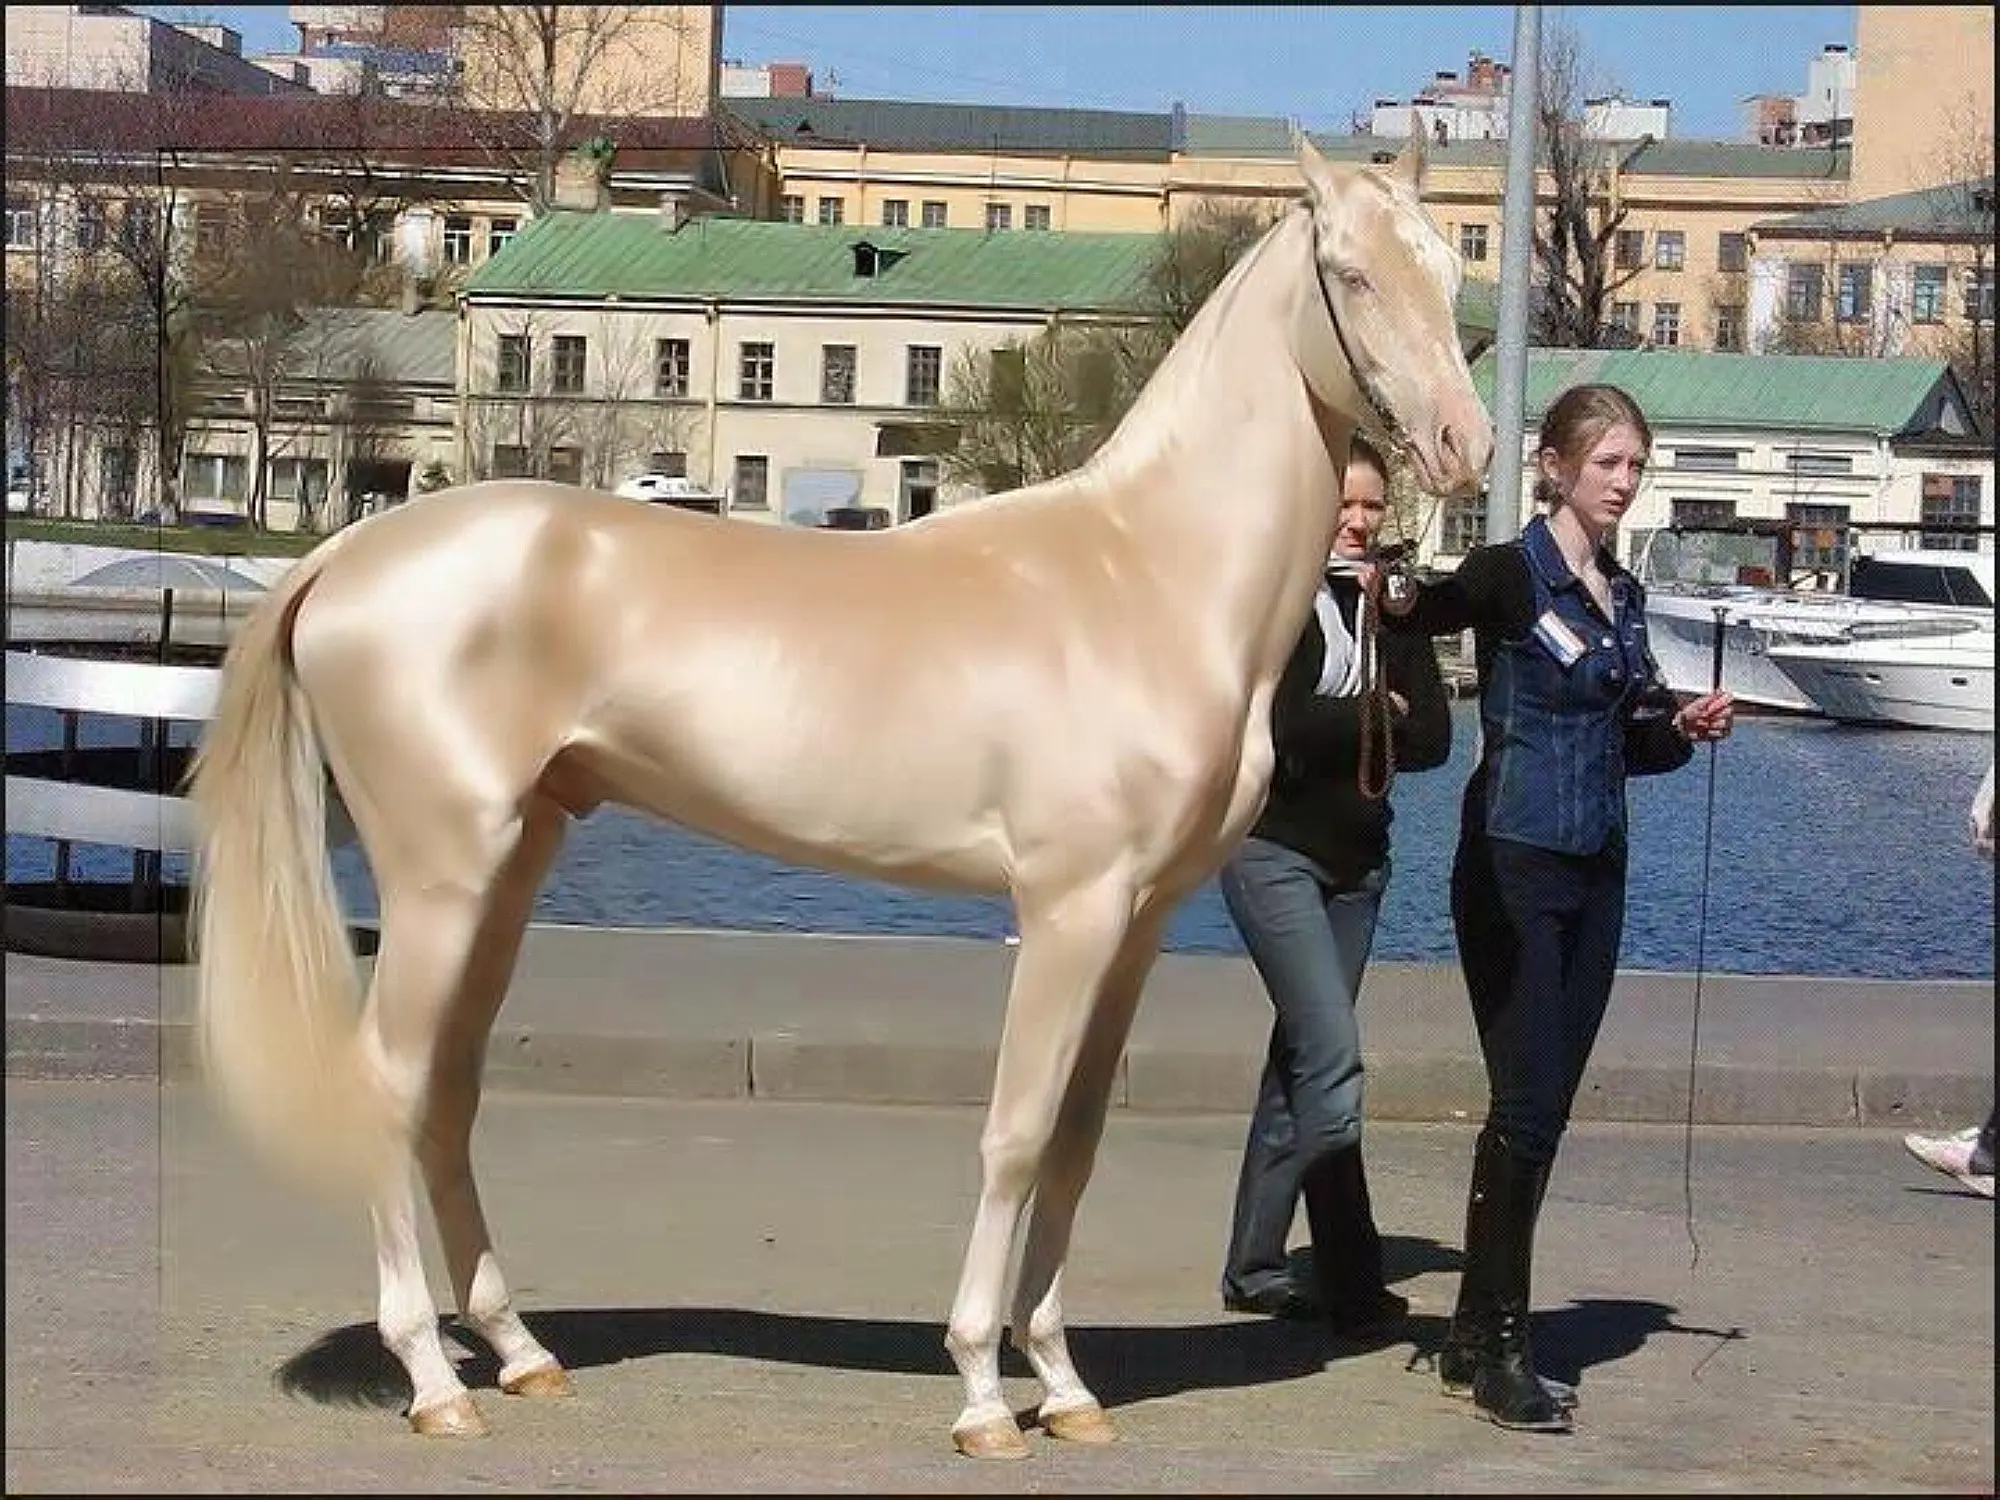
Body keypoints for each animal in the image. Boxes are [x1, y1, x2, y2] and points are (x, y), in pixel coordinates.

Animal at [195, 138, 1496, 1456]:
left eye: (1444, 270)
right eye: (1349, 273)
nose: (1465, 444)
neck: (1142, 575)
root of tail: (344, 557)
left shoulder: (1134, 927)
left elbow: (1074, 1144)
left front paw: (1064, 1385)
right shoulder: (1067, 910)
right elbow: (1015, 1136)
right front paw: (981, 1392)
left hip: (508, 870)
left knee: (448, 1091)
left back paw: (518, 1355)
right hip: (438, 877)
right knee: (387, 1085)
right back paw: (434, 1380)